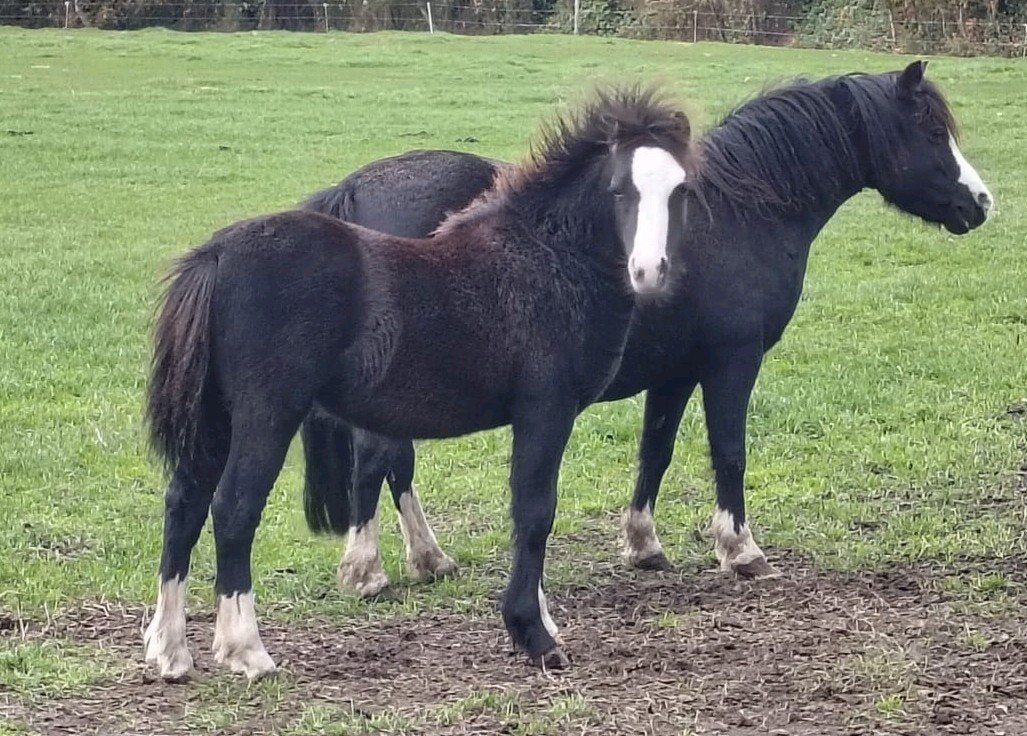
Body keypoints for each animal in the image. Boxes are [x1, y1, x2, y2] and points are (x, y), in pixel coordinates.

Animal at [142, 86, 698, 681]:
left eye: (681, 189)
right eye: (619, 188)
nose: (650, 271)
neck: (545, 260)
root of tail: (216, 254)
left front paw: (540, 620)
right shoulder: (547, 408)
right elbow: (534, 511)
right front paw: (533, 634)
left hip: (215, 417)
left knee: (183, 503)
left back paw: (170, 650)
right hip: (266, 414)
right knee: (233, 508)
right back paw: (246, 649)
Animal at [298, 61, 994, 597]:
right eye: (933, 129)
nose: (981, 203)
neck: (740, 212)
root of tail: (351, 193)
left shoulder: (676, 372)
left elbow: (654, 451)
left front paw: (643, 544)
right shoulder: (732, 362)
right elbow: (729, 450)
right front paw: (740, 550)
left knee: (395, 463)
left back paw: (430, 559)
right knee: (378, 461)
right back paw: (369, 572)